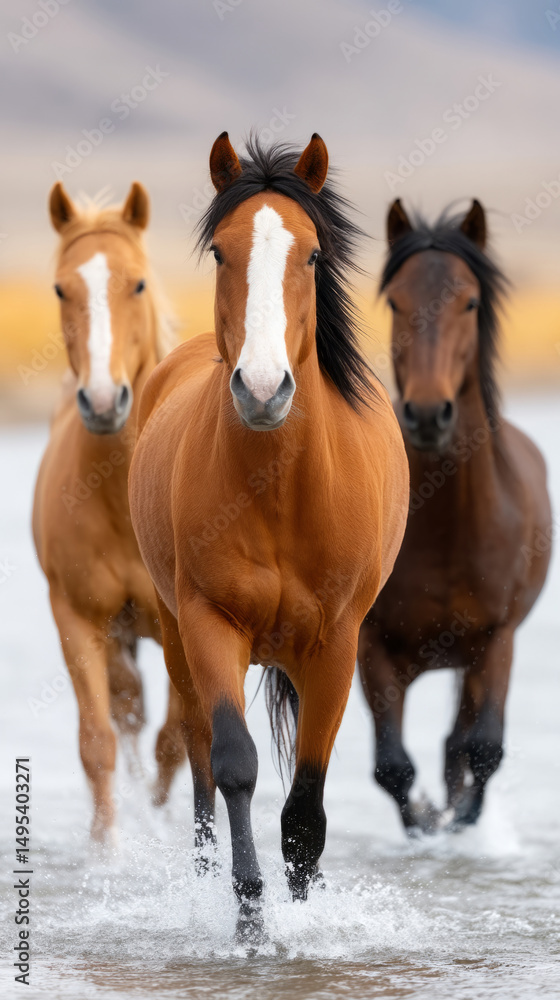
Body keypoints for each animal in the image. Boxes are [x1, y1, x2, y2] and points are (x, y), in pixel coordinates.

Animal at [128, 133, 409, 933]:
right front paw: (250, 918)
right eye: (222, 252)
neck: (278, 493)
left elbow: (305, 808)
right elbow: (234, 766)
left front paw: (300, 913)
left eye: (311, 255)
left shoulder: (336, 645)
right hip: (176, 637)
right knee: (195, 757)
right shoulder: (208, 622)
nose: (261, 388)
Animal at [358, 198, 552, 833]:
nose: (426, 413)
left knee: (459, 743)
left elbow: (483, 750)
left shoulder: (496, 642)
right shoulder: (372, 645)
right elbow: (392, 766)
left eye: (469, 301)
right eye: (396, 301)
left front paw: (458, 818)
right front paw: (425, 818)